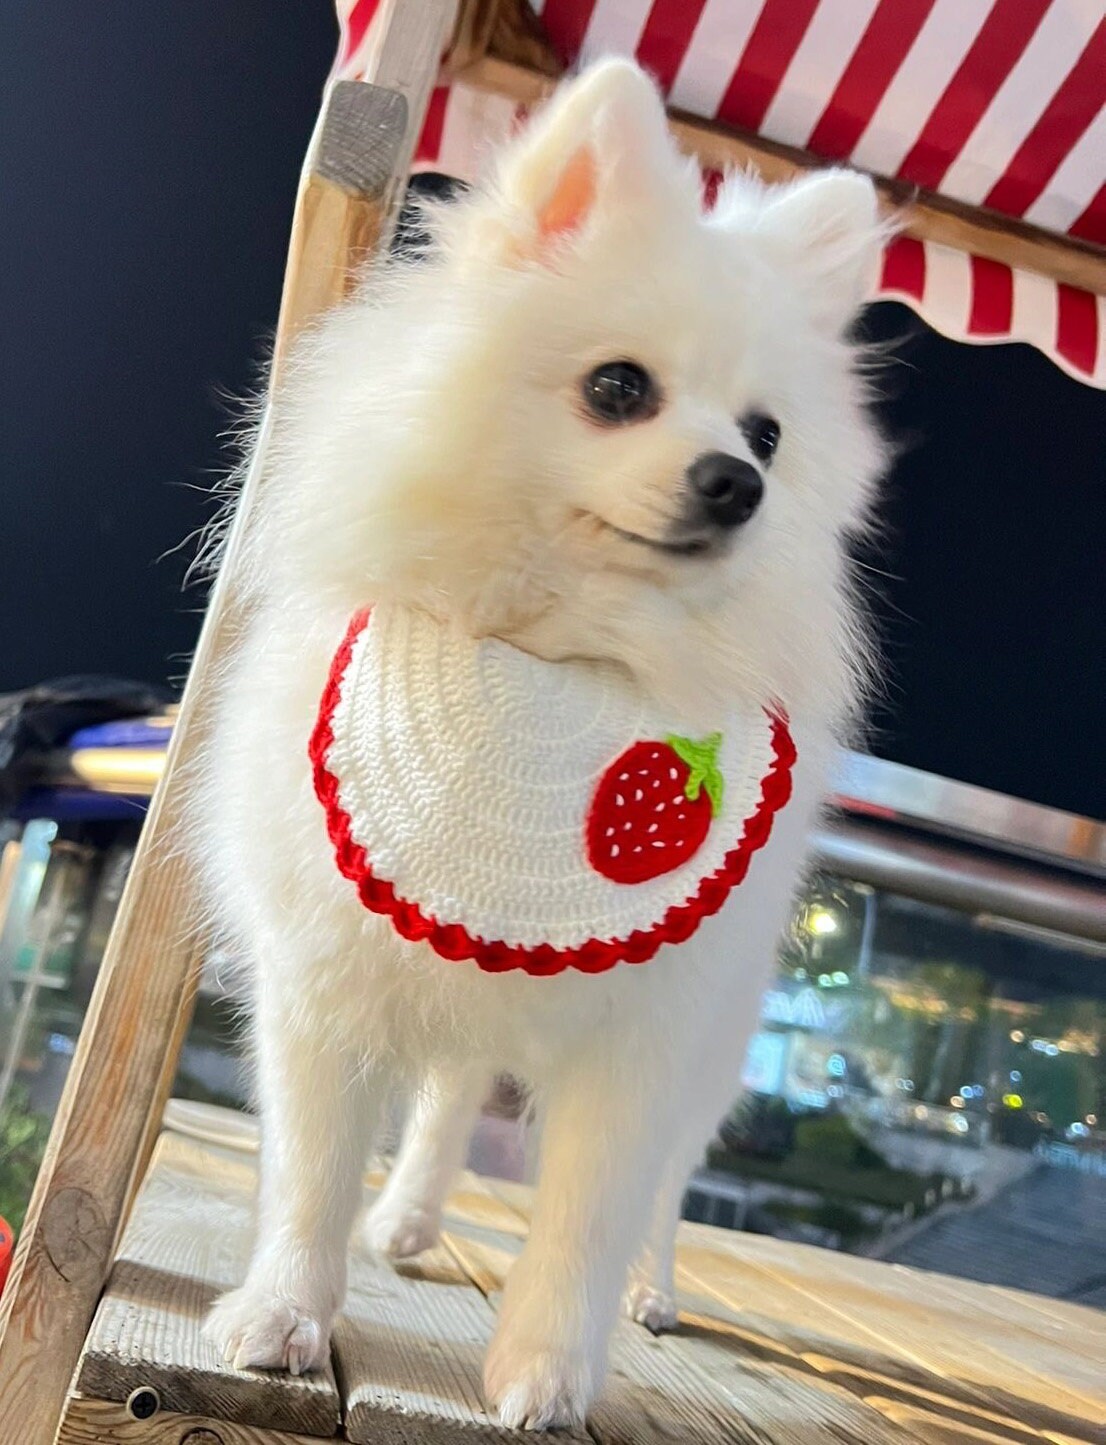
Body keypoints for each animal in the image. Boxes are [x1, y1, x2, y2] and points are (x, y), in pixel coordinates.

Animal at [198, 59, 884, 1433]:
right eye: (616, 387)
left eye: (770, 436)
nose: (736, 481)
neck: (559, 661)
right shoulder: (324, 975)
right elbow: (309, 1170)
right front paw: (284, 1310)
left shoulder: (647, 1035)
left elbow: (587, 1215)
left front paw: (547, 1372)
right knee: (452, 1094)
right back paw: (406, 1218)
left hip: (716, 1041)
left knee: (662, 1189)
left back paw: (651, 1289)